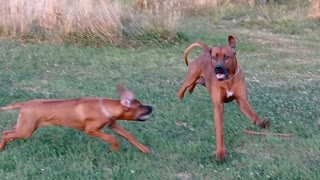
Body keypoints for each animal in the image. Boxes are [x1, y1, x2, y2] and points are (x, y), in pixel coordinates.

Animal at [0, 84, 152, 153]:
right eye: (140, 106)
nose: (151, 107)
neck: (105, 108)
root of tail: (25, 104)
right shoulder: (90, 130)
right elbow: (112, 138)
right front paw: (114, 148)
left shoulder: (113, 124)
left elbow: (128, 135)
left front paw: (144, 149)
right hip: (26, 131)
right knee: (7, 134)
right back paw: (2, 148)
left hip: (25, 126)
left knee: (9, 131)